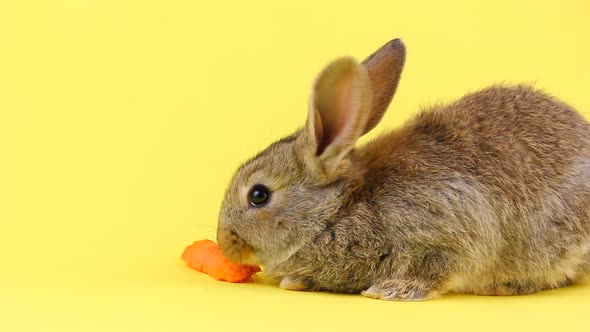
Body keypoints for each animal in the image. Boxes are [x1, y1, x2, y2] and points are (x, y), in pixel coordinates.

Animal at [216, 39, 590, 300]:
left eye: (259, 195)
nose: (223, 243)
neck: (337, 210)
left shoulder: (449, 222)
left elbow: (441, 266)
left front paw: (395, 290)